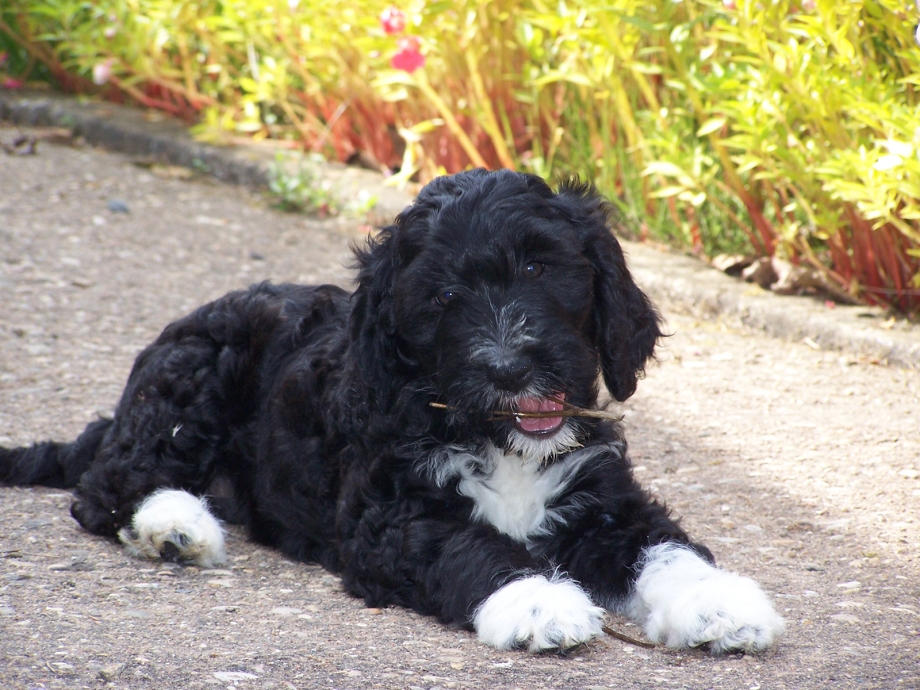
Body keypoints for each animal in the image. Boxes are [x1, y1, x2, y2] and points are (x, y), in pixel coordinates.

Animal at [1, 169, 784, 653]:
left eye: (540, 268)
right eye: (443, 298)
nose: (509, 367)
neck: (495, 436)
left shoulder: (604, 500)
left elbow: (665, 547)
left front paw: (720, 603)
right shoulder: (392, 519)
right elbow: (473, 547)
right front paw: (537, 600)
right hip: (190, 377)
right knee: (107, 487)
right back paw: (175, 526)